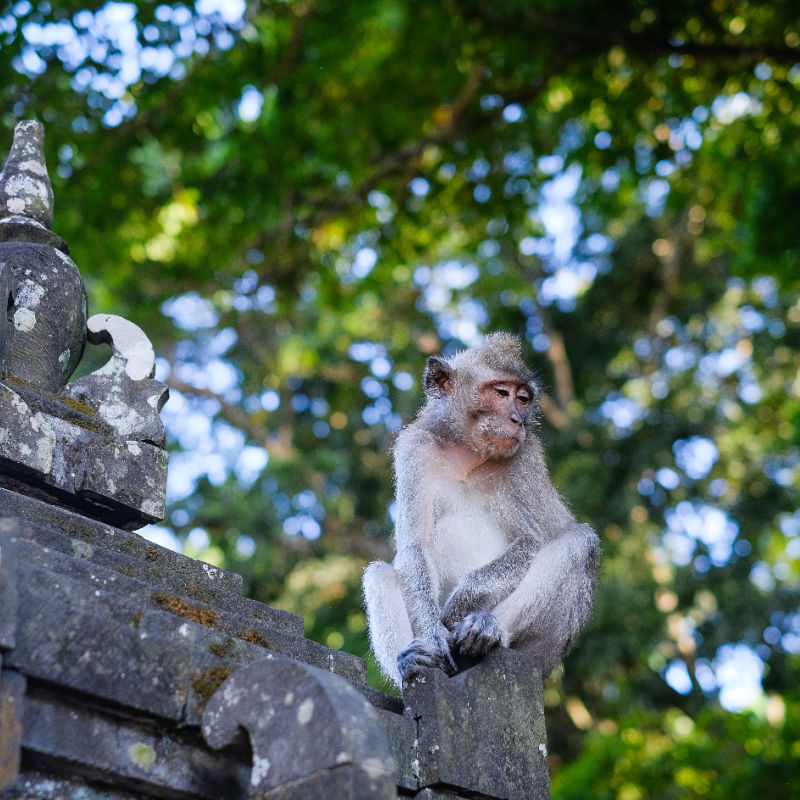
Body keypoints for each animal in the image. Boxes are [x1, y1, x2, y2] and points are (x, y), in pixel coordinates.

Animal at [362, 332, 600, 689]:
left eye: (523, 398)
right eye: (501, 393)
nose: (517, 420)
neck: (469, 453)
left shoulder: (526, 457)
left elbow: (531, 542)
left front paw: (463, 602)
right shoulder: (414, 449)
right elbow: (415, 548)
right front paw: (432, 636)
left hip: (544, 650)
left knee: (580, 543)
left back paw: (487, 628)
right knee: (379, 574)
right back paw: (411, 662)